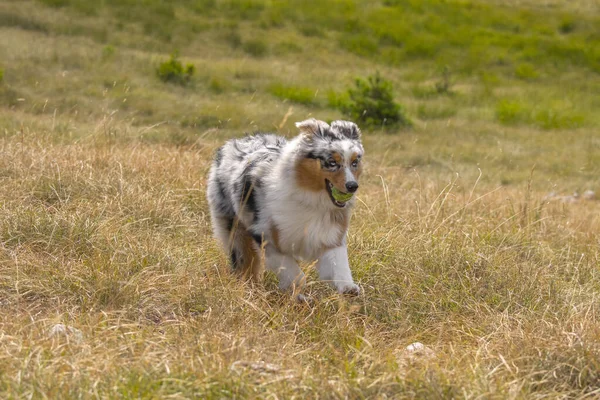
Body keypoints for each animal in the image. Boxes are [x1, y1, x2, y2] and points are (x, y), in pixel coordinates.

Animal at [206, 119, 366, 296]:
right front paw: (297, 293)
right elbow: (295, 274)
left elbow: (340, 265)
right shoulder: (266, 237)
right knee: (245, 261)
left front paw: (348, 288)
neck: (311, 199)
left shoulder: (329, 235)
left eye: (354, 163)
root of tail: (236, 141)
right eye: (332, 163)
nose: (352, 186)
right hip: (234, 227)